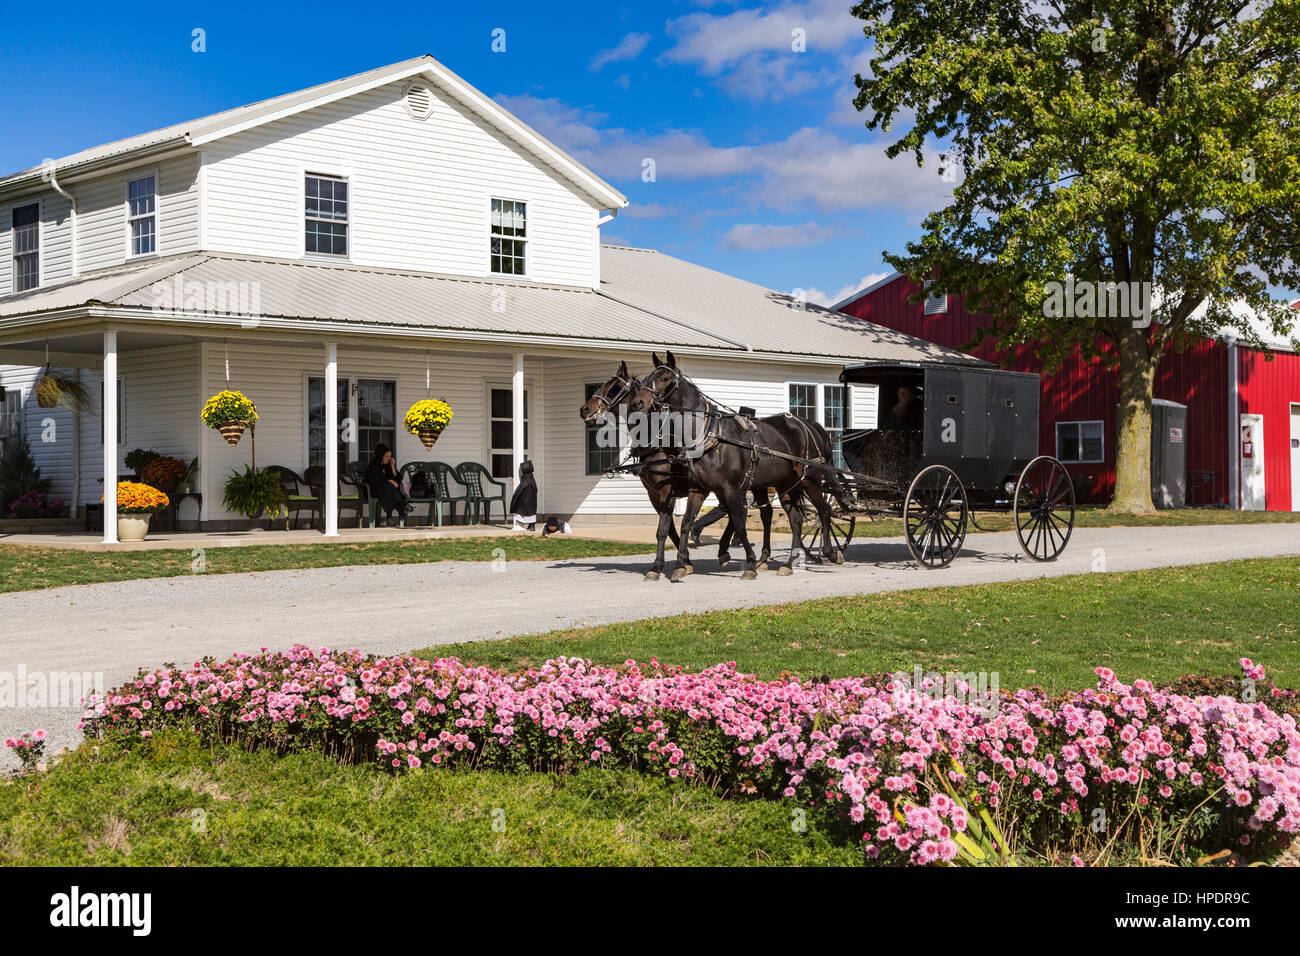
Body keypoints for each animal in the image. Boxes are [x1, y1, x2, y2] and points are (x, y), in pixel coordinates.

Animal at [629, 348, 852, 574]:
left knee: (824, 511)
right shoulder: (698, 489)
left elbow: (738, 523)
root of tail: (807, 424)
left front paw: (749, 562)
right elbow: (685, 523)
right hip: (784, 484)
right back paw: (788, 563)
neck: (709, 434)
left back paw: (830, 552)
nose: (639, 402)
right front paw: (681, 564)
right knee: (795, 521)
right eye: (647, 378)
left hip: (810, 480)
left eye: (664, 378)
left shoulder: (728, 489)